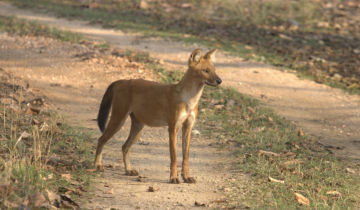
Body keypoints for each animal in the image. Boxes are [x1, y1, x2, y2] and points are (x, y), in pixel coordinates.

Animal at [94, 48, 221, 183]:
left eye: (214, 70)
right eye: (205, 70)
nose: (220, 81)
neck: (190, 99)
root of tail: (124, 80)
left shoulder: (188, 128)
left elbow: (185, 157)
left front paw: (186, 177)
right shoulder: (173, 128)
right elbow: (174, 157)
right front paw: (174, 177)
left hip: (138, 127)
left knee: (125, 147)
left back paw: (128, 170)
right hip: (118, 119)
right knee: (101, 139)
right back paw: (98, 165)